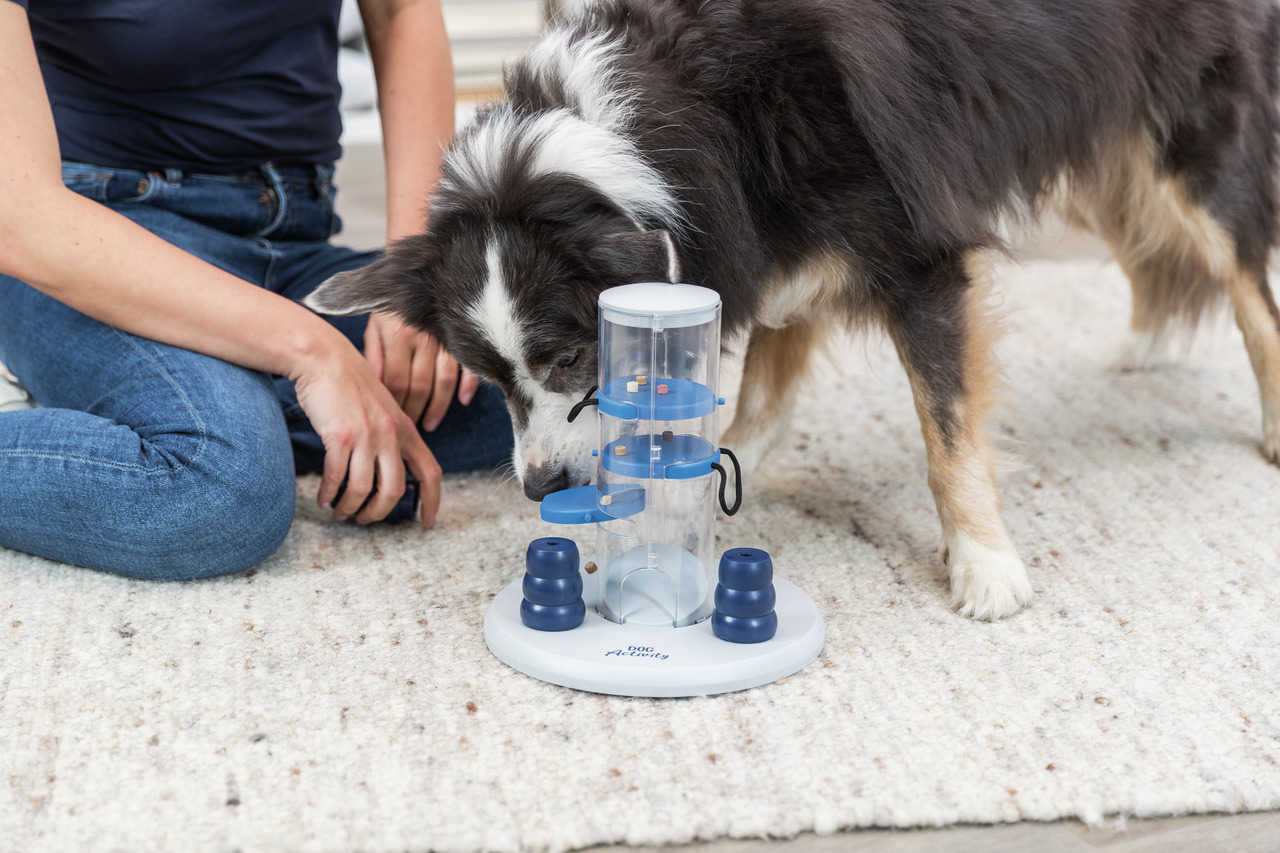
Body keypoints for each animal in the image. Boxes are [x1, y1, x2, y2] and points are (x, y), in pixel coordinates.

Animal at [307, 0, 1280, 617]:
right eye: (487, 376)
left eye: (573, 359)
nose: (541, 486)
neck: (671, 112)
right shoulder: (767, 239)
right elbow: (762, 395)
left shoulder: (916, 249)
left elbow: (947, 431)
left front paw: (985, 566)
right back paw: (1144, 343)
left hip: (1183, 132)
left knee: (1247, 286)